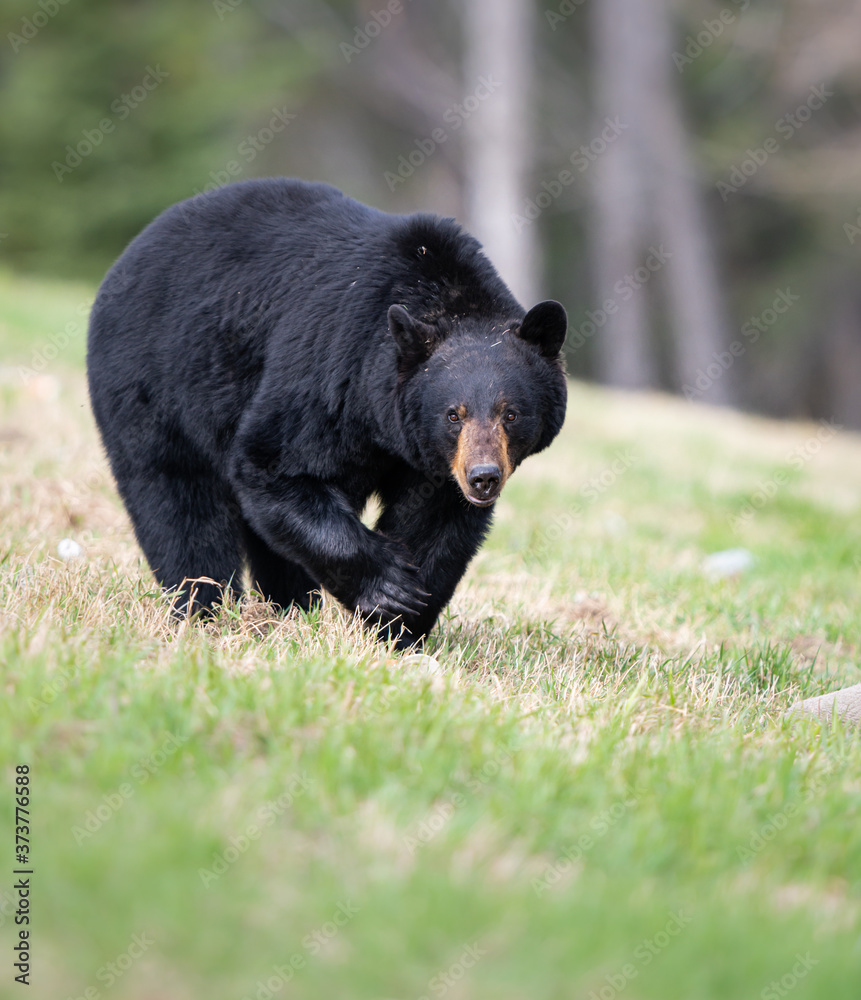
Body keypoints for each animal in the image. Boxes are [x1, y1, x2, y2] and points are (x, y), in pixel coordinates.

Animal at [87, 177, 568, 648]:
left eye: (511, 413)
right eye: (454, 414)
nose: (483, 477)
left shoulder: (430, 462)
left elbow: (436, 523)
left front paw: (401, 628)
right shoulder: (331, 373)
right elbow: (274, 465)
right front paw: (388, 588)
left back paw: (288, 609)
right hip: (156, 385)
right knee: (178, 502)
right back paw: (204, 607)